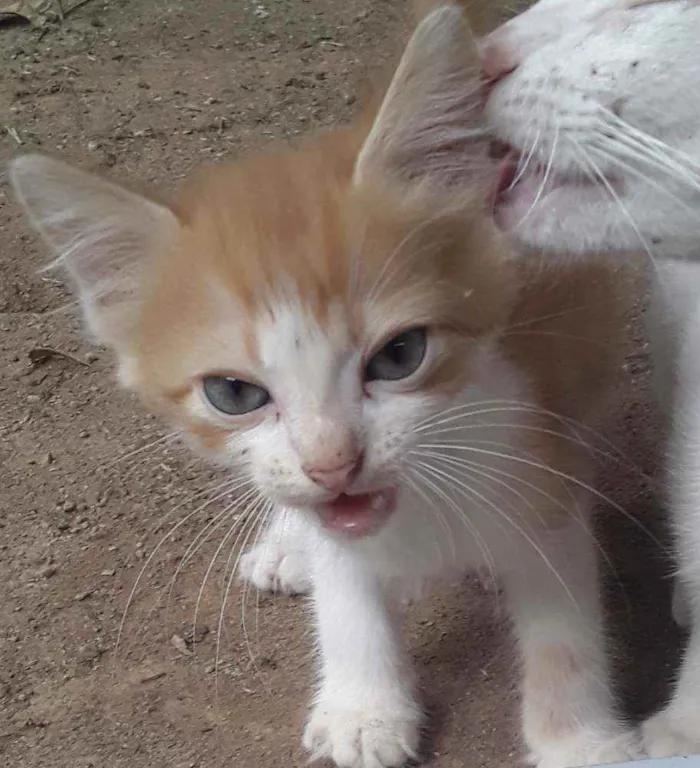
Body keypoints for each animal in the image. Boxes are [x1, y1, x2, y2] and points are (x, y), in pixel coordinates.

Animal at [12, 6, 640, 768]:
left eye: (401, 355)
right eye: (234, 394)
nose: (334, 464)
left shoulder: (542, 438)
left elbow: (562, 622)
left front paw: (582, 741)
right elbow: (342, 575)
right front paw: (363, 704)